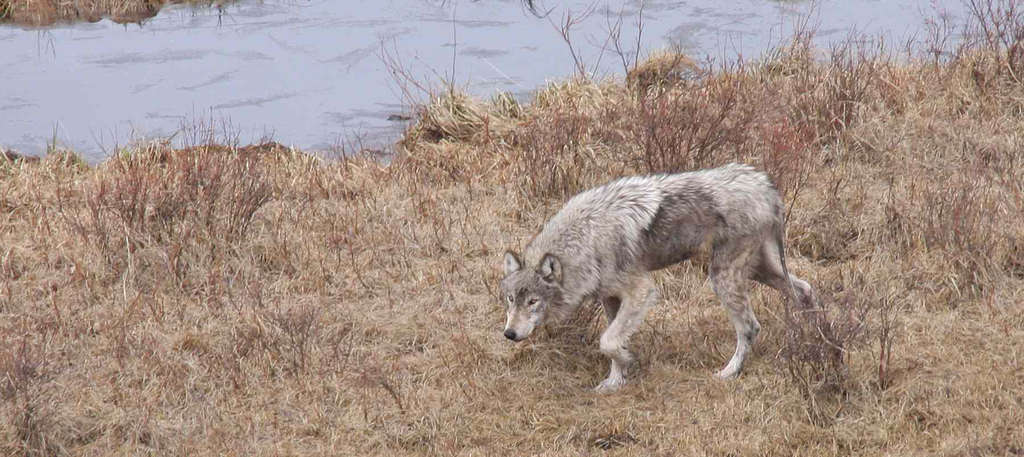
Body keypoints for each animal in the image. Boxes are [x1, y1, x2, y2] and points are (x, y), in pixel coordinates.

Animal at [500, 163, 815, 392]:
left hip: (723, 277)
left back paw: (728, 373)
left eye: (532, 301)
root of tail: (764, 184)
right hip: (761, 270)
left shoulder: (641, 291)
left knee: (751, 327)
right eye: (510, 300)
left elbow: (607, 341)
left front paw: (626, 362)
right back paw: (808, 334)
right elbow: (612, 338)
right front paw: (615, 382)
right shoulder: (610, 297)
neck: (587, 237)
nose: (509, 334)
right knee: (804, 289)